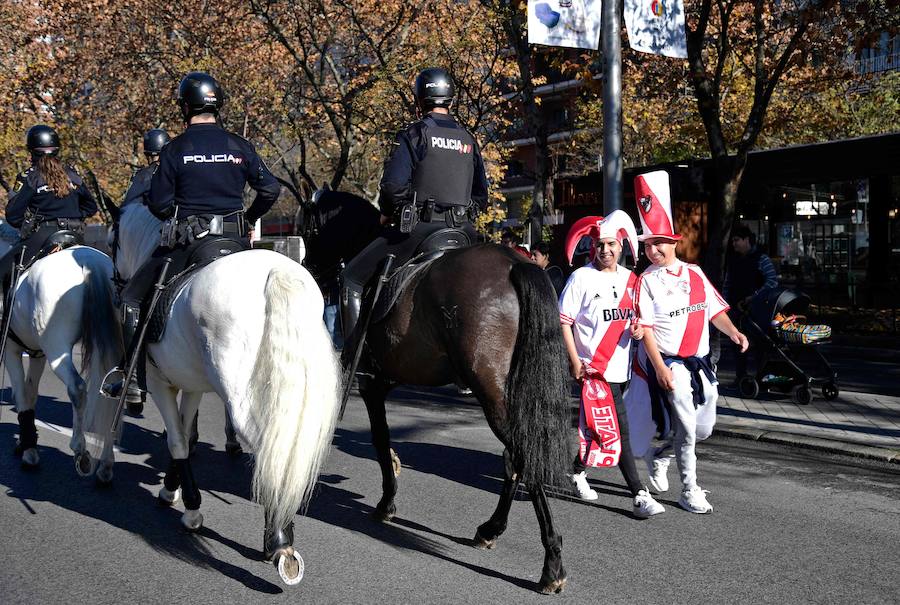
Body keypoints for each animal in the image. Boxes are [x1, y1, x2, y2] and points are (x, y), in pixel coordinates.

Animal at [1, 243, 121, 478]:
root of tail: (89, 261)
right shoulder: (38, 353)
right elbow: (31, 393)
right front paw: (25, 441)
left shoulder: (12, 349)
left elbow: (21, 394)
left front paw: (28, 449)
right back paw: (106, 465)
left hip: (56, 346)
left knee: (77, 387)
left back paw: (80, 449)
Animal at [112, 203, 338, 584]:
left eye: (113, 238)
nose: (115, 279)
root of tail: (275, 270)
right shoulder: (191, 386)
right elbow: (185, 437)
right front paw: (170, 489)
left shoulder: (159, 383)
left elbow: (176, 440)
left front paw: (190, 510)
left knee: (269, 450)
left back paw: (278, 540)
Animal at [300, 191, 568, 592]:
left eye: (310, 227)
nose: (307, 268)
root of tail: (512, 264)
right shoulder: (386, 379)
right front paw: (394, 473)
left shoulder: (370, 382)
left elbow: (379, 437)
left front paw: (387, 502)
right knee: (515, 459)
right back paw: (491, 529)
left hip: (490, 393)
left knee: (522, 456)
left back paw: (551, 563)